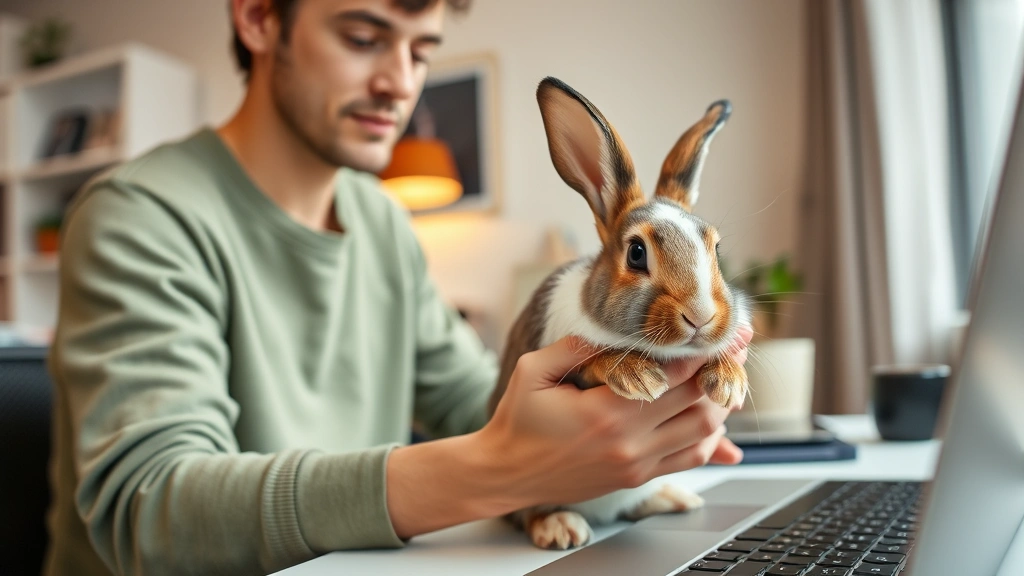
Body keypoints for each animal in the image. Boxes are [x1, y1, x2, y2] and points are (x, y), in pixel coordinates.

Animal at [487, 77, 752, 550]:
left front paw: (728, 382)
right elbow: (593, 360)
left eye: (716, 249)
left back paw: (674, 498)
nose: (701, 317)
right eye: (636, 253)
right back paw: (560, 528)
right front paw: (639, 377)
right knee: (527, 513)